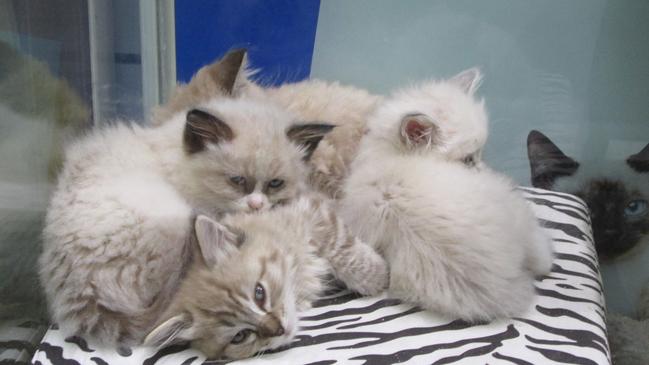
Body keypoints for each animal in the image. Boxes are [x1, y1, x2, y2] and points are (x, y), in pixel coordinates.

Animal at [144, 195, 388, 360]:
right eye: (240, 336)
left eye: (259, 293)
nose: (278, 329)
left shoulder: (312, 212)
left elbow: (340, 247)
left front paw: (377, 276)